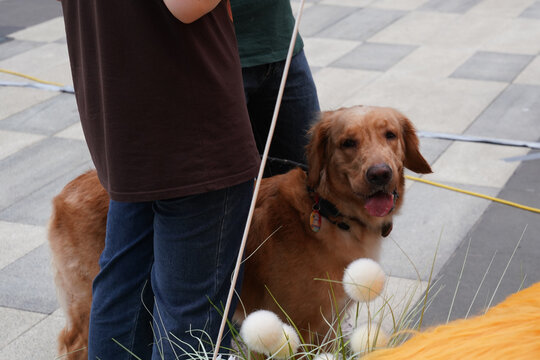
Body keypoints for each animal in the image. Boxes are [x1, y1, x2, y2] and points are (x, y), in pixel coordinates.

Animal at [48, 105, 432, 358]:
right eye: (347, 143)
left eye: (390, 135)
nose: (380, 174)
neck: (328, 211)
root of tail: (61, 194)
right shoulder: (303, 327)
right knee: (74, 342)